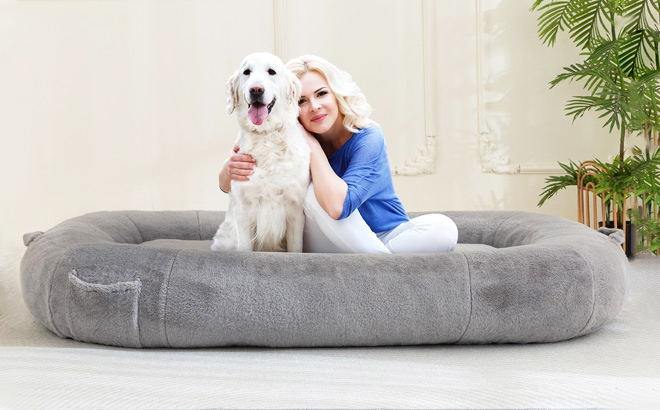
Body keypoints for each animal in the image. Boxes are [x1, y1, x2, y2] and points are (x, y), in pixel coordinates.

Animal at [214, 52, 312, 251]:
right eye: (246, 72)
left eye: (271, 71)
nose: (256, 90)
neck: (266, 137)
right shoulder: (243, 209)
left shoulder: (295, 208)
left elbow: (295, 247)